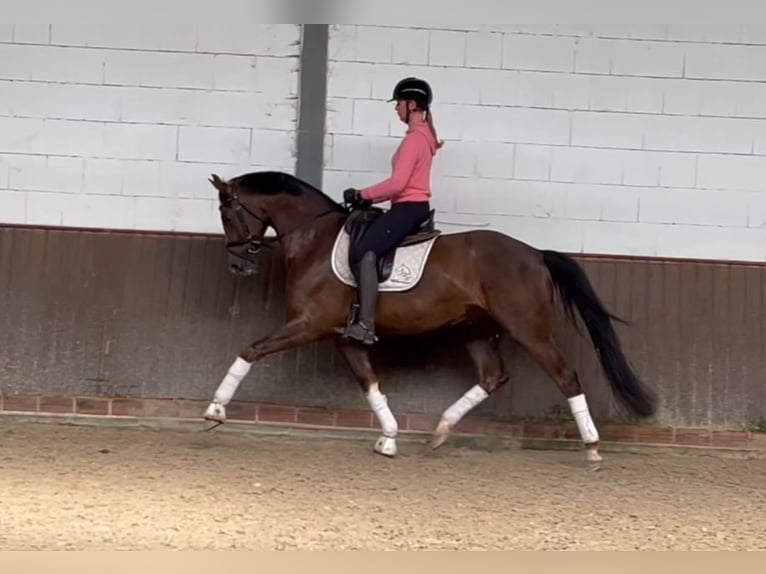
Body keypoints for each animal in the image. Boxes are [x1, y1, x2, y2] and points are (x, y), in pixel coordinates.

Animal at [204, 169, 660, 466]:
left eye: (227, 213)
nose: (238, 265)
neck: (314, 238)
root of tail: (534, 254)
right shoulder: (345, 337)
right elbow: (370, 384)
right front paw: (389, 438)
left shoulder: (311, 324)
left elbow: (250, 351)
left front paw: (215, 411)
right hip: (478, 331)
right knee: (492, 377)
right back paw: (440, 431)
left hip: (529, 329)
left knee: (565, 376)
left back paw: (592, 447)